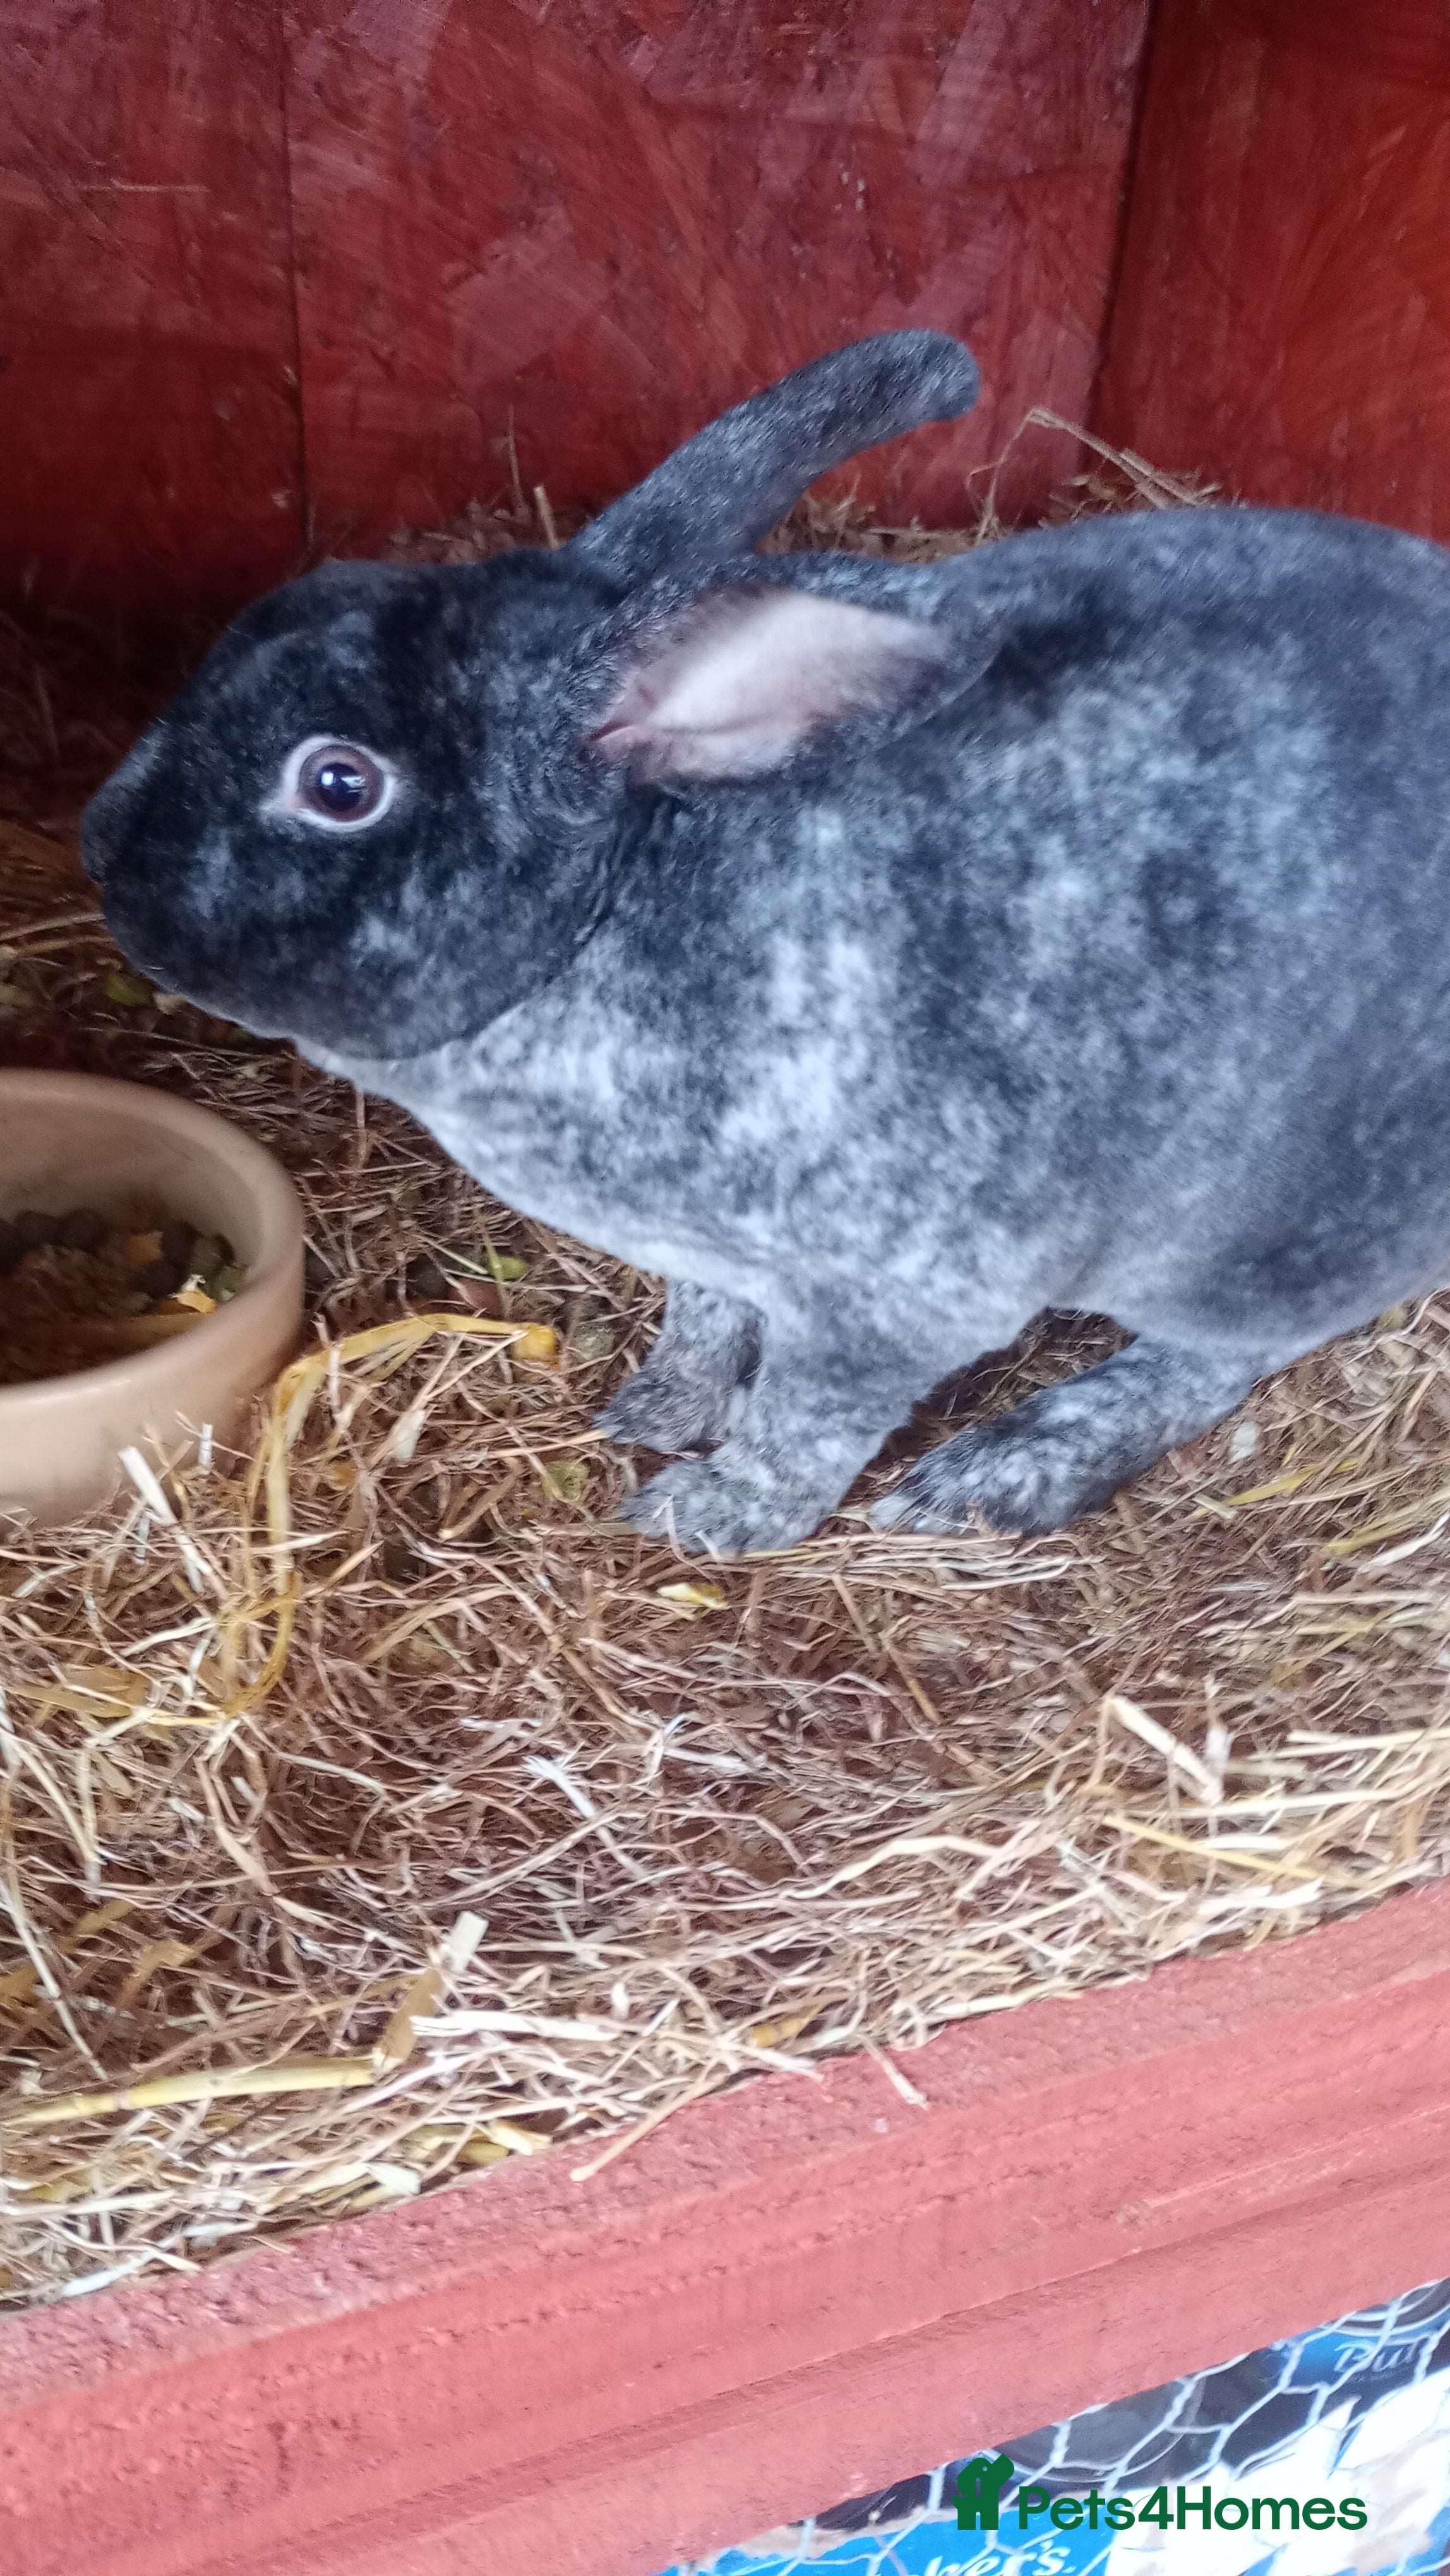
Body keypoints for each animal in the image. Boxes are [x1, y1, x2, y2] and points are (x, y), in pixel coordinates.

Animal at [82, 328, 1450, 1555]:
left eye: (339, 784)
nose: (103, 849)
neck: (617, 907)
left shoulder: (893, 1301)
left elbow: (805, 1420)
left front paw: (708, 1514)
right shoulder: (717, 1258)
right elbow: (704, 1319)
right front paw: (655, 1408)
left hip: (1259, 1250)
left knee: (1219, 1359)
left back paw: (1009, 1470)